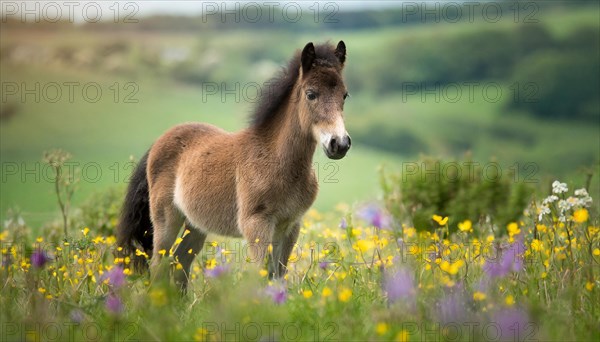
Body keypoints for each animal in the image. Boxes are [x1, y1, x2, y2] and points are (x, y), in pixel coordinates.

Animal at [117, 41, 352, 290]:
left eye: (344, 95)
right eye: (311, 94)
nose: (339, 143)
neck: (278, 161)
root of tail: (159, 141)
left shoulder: (290, 226)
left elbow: (278, 276)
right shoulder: (256, 224)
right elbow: (260, 274)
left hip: (196, 224)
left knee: (181, 262)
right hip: (166, 217)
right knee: (158, 264)